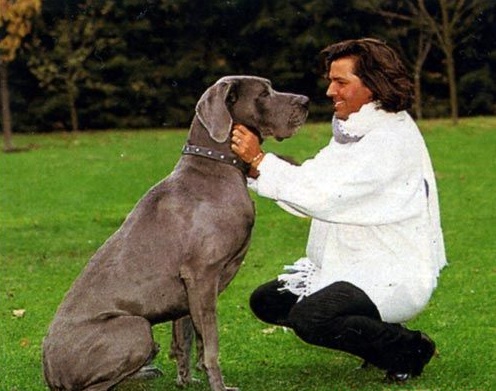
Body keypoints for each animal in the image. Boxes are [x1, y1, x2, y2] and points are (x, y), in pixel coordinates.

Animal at [42, 76, 308, 391]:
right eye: (264, 94)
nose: (306, 101)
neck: (216, 166)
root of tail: (50, 371)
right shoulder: (202, 275)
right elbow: (211, 342)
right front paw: (219, 386)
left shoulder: (187, 289)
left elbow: (189, 338)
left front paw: (187, 378)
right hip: (136, 326)